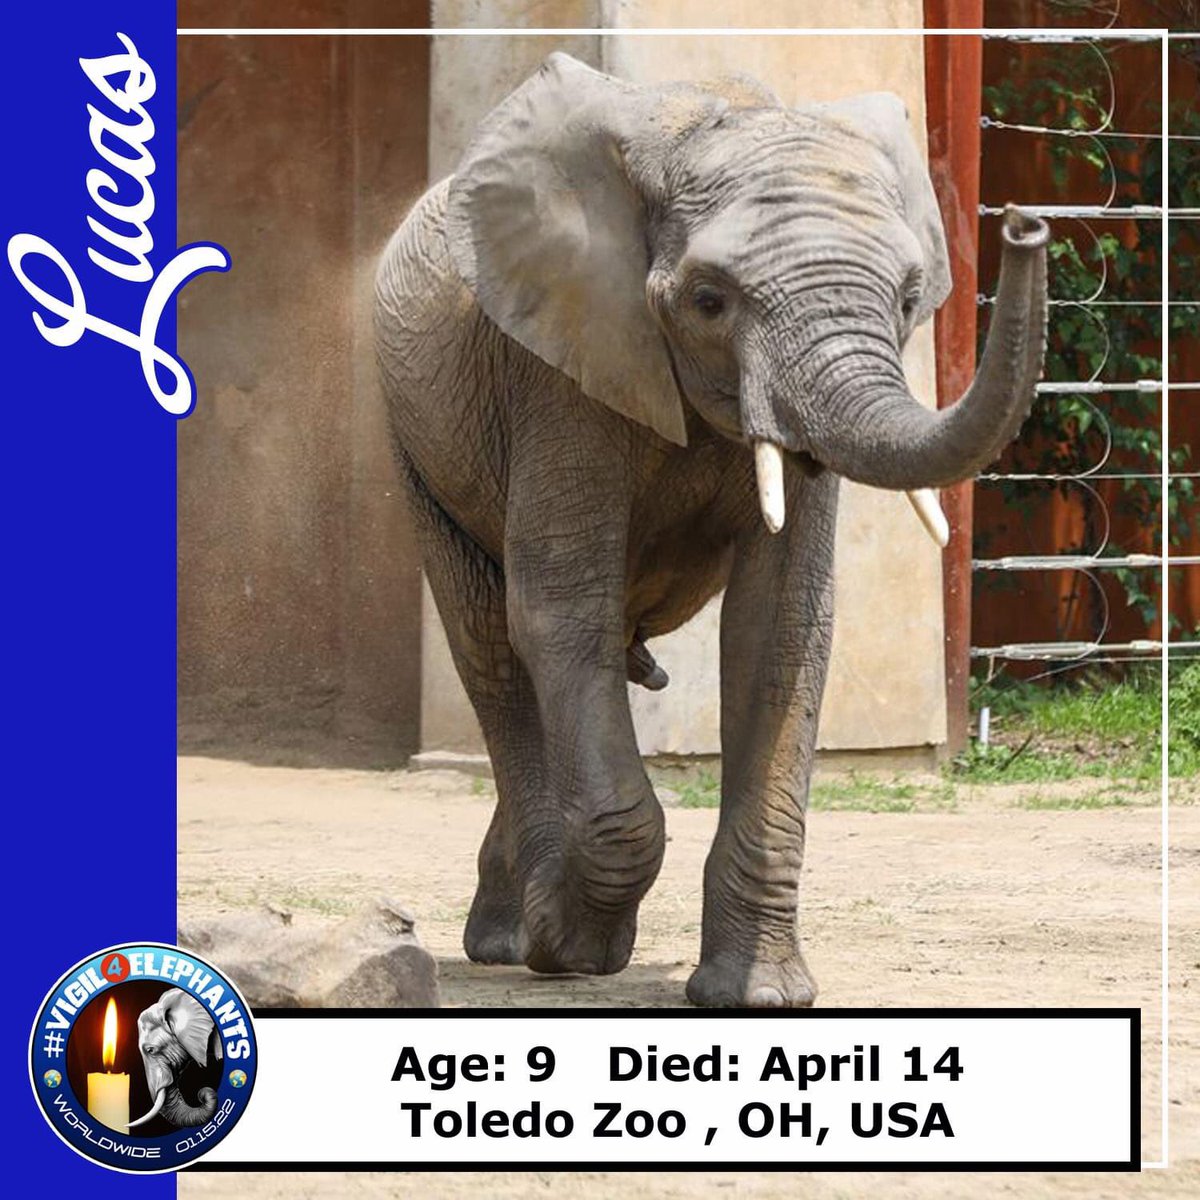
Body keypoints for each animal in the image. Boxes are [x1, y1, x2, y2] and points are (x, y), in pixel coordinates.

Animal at [374, 53, 1047, 1007]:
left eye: (910, 296)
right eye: (707, 301)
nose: (1027, 226)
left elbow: (781, 626)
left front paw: (757, 995)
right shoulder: (557, 366)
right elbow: (559, 612)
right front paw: (571, 947)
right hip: (414, 438)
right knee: (489, 643)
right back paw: (512, 939)